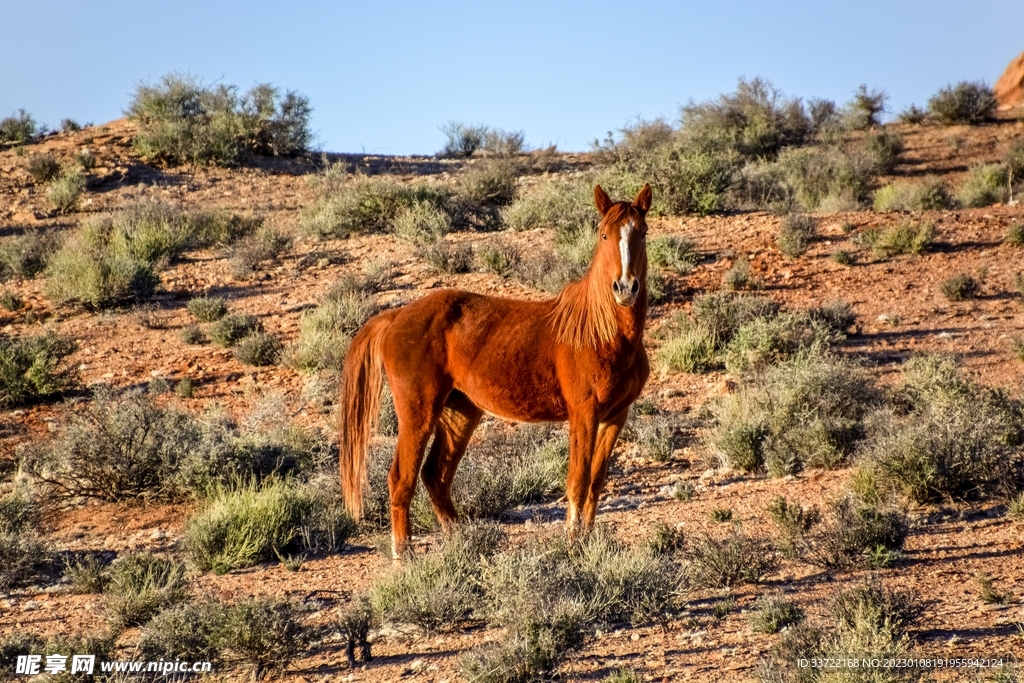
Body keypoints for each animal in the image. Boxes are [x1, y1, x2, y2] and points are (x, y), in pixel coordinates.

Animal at [338, 183, 652, 558]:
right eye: (604, 234)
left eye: (642, 233)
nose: (625, 288)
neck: (599, 333)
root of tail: (396, 316)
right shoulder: (584, 414)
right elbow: (577, 480)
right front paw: (572, 545)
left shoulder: (615, 416)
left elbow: (596, 481)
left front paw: (587, 541)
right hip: (418, 413)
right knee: (402, 476)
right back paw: (405, 555)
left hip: (461, 411)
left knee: (435, 475)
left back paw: (463, 540)